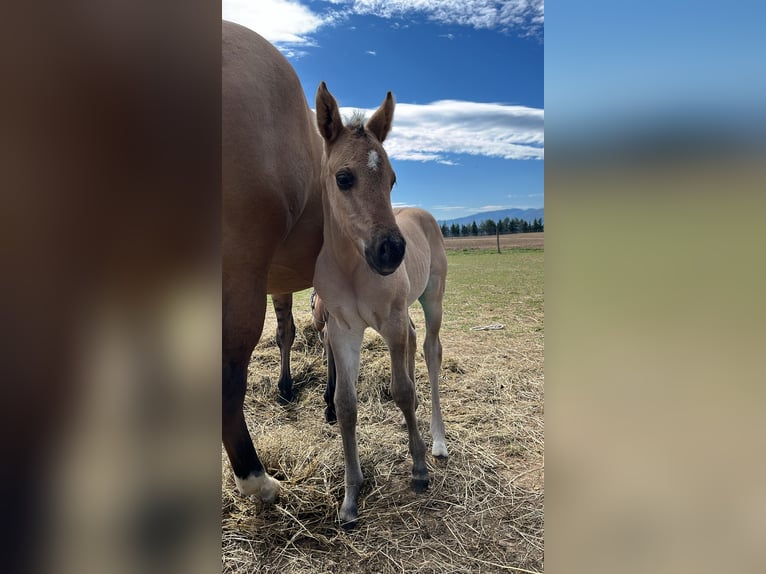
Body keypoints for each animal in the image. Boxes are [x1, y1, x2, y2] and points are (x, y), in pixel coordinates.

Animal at [312, 82, 449, 526]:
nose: (391, 251)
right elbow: (345, 405)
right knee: (414, 340)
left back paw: (437, 441)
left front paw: (419, 469)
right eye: (344, 178)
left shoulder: (389, 321)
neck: (353, 267)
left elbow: (403, 390)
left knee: (430, 351)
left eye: (392, 179)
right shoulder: (342, 331)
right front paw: (351, 497)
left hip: (432, 299)